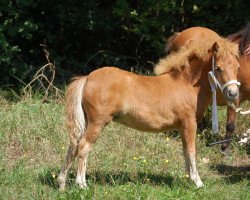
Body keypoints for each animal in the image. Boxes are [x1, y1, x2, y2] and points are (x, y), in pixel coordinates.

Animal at [57, 38, 239, 191]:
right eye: (218, 68)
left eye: (237, 67)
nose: (233, 93)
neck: (186, 84)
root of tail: (87, 78)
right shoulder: (189, 124)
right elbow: (192, 152)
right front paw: (197, 182)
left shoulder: (182, 128)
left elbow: (186, 152)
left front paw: (188, 179)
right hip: (97, 123)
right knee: (84, 146)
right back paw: (81, 185)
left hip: (87, 122)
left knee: (73, 146)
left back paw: (62, 184)